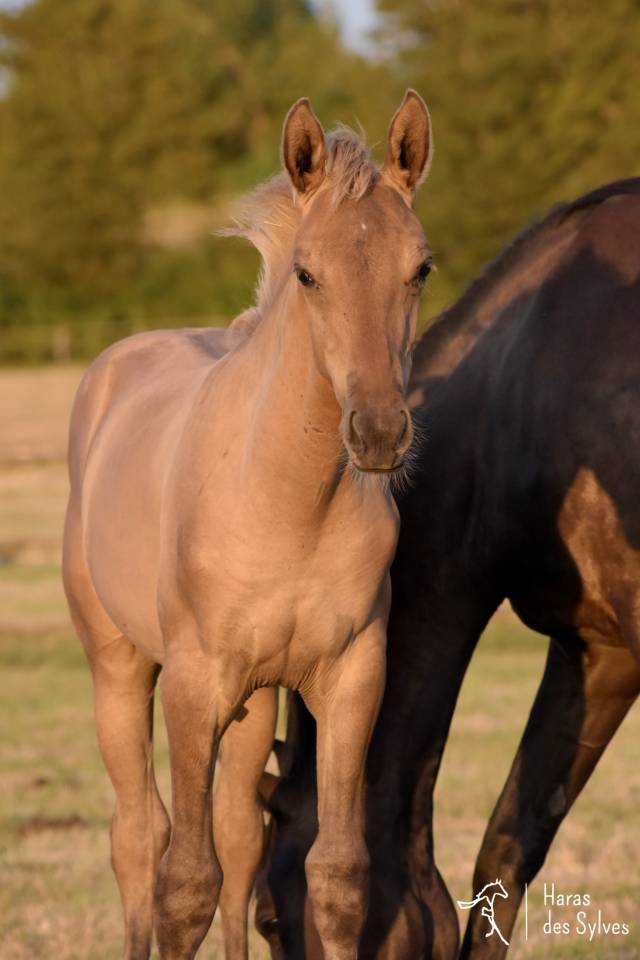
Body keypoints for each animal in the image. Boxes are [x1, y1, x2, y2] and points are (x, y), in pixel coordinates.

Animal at [62, 91, 434, 960]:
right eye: (307, 272)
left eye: (421, 268)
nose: (378, 433)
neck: (289, 505)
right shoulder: (194, 684)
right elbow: (184, 884)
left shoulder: (350, 679)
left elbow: (334, 876)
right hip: (120, 669)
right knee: (140, 837)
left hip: (253, 703)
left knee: (237, 837)